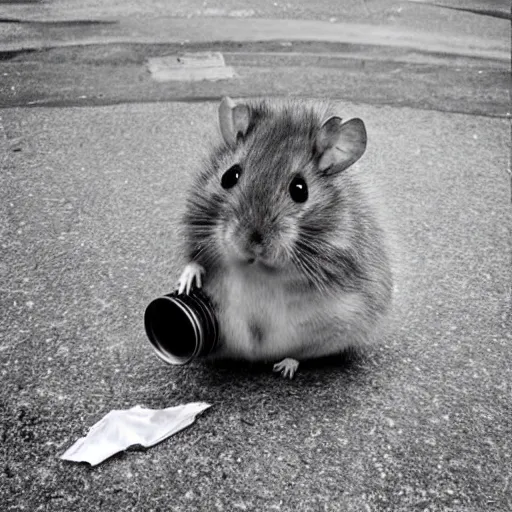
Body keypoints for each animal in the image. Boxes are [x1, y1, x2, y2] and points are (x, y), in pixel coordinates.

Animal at [178, 96, 394, 378]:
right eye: (229, 176)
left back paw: (286, 366)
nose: (252, 243)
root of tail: (259, 357)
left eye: (300, 189)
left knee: (303, 353)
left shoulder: (335, 258)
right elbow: (195, 259)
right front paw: (187, 280)